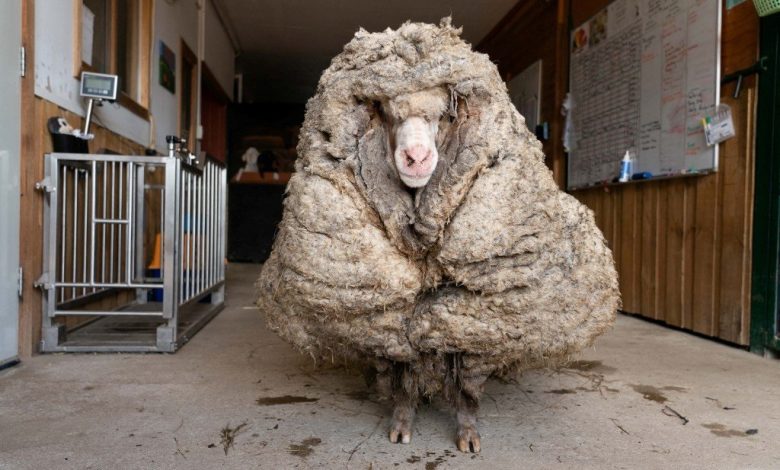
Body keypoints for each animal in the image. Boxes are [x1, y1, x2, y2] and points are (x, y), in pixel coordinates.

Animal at [256, 18, 620, 453]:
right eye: (386, 112)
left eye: (444, 117)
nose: (416, 158)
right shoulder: (386, 318)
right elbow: (400, 372)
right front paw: (401, 421)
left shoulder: (475, 315)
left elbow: (465, 382)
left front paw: (467, 431)